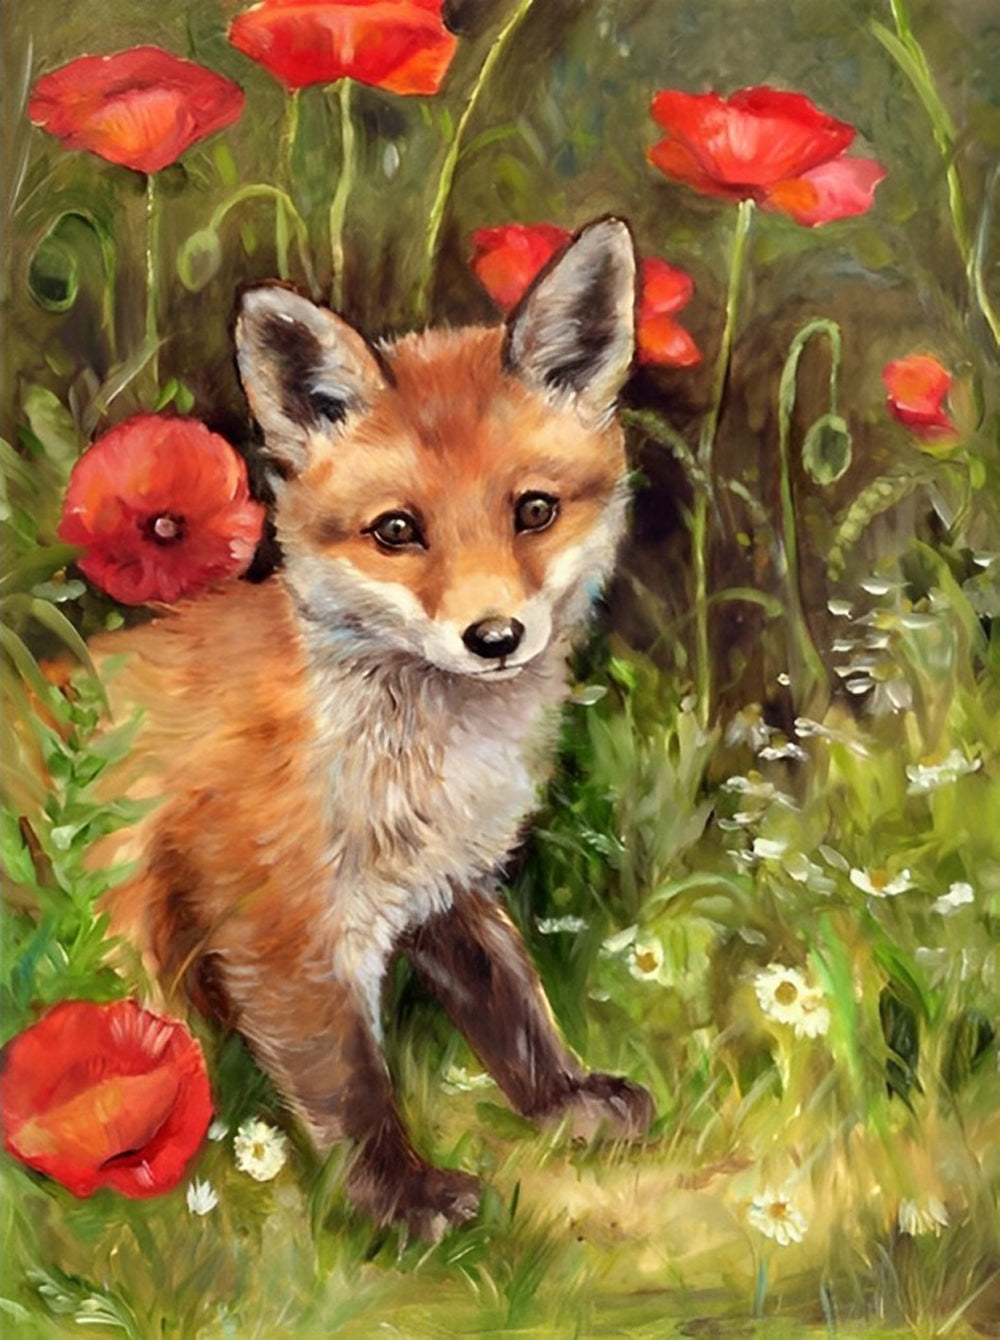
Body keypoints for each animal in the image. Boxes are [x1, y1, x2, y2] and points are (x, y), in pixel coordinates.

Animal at [86, 218, 654, 1237]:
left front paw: (564, 1099)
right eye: (397, 531)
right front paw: (400, 1201)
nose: (494, 637)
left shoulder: (444, 884)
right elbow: (349, 1086)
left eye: (535, 511)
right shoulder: (274, 925)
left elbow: (511, 1003)